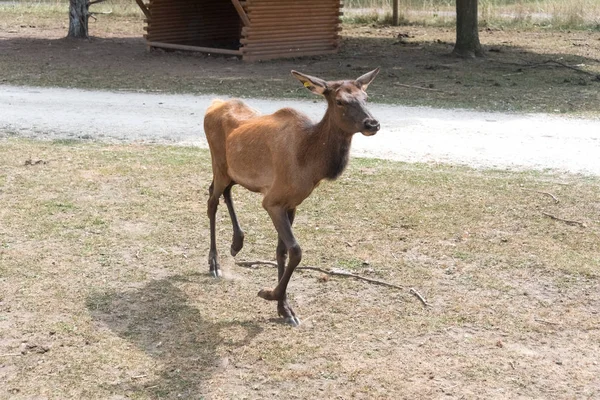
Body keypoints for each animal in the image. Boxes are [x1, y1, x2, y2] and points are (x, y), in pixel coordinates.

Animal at [203, 68, 380, 324]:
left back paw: (237, 243)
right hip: (218, 163)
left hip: (232, 172)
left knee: (223, 192)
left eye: (366, 97)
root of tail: (213, 104)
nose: (372, 123)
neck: (309, 163)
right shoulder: (273, 201)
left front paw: (284, 308)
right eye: (340, 101)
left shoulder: (293, 203)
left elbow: (282, 251)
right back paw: (214, 263)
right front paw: (270, 294)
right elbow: (296, 250)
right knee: (211, 201)